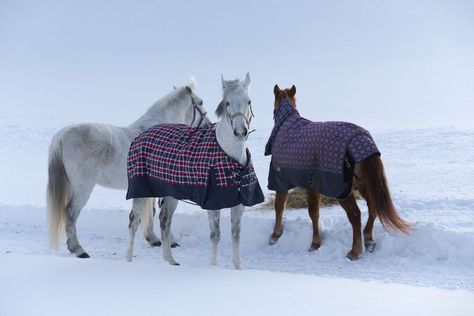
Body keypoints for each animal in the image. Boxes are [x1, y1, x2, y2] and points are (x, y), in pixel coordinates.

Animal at [48, 80, 209, 258]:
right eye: (201, 102)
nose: (208, 125)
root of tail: (61, 137)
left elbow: (151, 212)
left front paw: (154, 239)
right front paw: (170, 242)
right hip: (82, 188)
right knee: (71, 213)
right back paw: (79, 250)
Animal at [127, 74, 260, 270]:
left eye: (248, 101)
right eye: (227, 103)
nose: (240, 131)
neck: (230, 158)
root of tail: (141, 135)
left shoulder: (239, 204)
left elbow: (236, 235)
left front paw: (237, 268)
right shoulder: (213, 204)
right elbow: (216, 235)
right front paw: (213, 265)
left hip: (170, 194)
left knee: (164, 221)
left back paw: (170, 260)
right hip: (141, 192)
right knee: (134, 221)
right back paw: (128, 260)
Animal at [266, 84, 412, 260]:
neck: (286, 124)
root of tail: (361, 140)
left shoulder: (282, 181)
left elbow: (281, 207)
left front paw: (275, 235)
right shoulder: (313, 186)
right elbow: (314, 212)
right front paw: (315, 242)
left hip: (343, 191)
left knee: (355, 215)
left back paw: (355, 251)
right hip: (363, 185)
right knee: (373, 207)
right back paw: (368, 239)